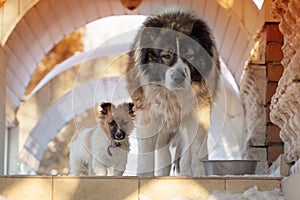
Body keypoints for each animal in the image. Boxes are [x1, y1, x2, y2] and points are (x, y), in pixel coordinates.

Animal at [124, 9, 220, 176]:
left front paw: (199, 174)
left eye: (189, 56)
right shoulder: (147, 115)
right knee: (164, 153)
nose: (178, 78)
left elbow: (196, 148)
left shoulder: (199, 111)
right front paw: (145, 177)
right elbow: (147, 152)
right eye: (166, 56)